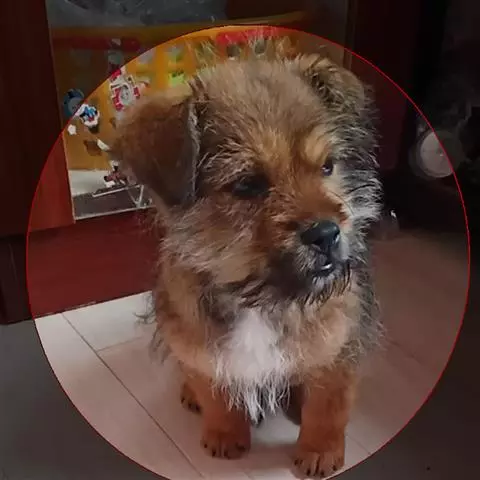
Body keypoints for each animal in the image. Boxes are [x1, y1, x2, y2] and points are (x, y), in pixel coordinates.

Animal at [112, 50, 382, 478]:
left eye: (327, 167)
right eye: (247, 185)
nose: (326, 234)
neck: (259, 297)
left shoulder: (339, 344)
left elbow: (329, 404)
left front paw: (320, 452)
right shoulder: (200, 343)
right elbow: (216, 388)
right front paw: (225, 433)